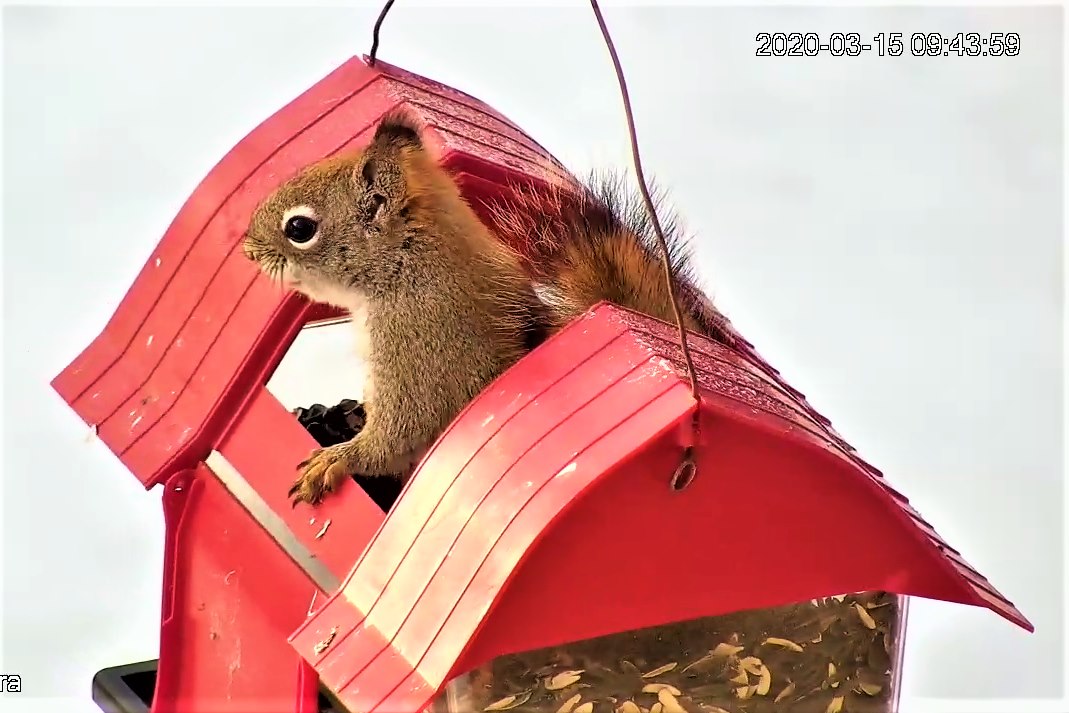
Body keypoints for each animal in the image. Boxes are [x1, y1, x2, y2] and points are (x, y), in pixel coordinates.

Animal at [242, 111, 733, 506]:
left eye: (300, 228)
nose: (247, 249)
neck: (409, 266)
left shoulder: (420, 345)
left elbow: (401, 431)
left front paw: (338, 458)